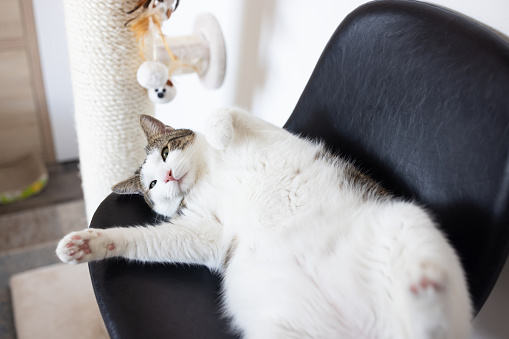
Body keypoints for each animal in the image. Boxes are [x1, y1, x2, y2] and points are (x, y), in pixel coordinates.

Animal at [56, 109, 472, 339]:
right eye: (154, 185)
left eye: (166, 151)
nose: (169, 176)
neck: (207, 177)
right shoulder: (206, 233)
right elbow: (147, 241)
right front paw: (87, 243)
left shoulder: (264, 127)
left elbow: (221, 110)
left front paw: (219, 135)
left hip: (406, 219)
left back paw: (424, 284)